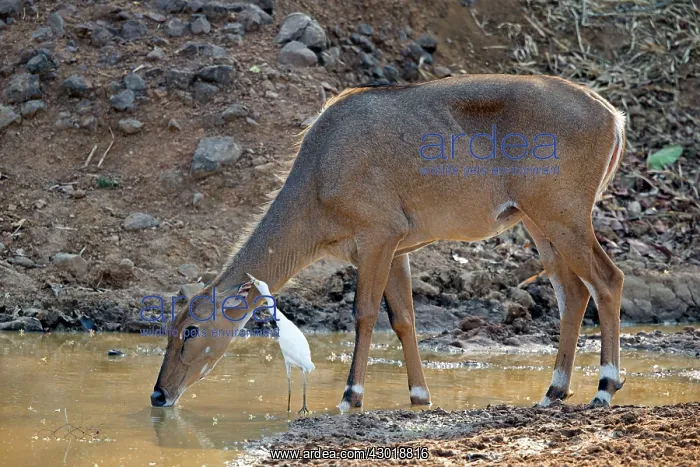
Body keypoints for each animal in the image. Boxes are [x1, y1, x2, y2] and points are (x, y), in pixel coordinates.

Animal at [151, 74, 626, 410]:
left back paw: (604, 387)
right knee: (572, 293)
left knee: (607, 279)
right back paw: (553, 391)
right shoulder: (397, 249)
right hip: (537, 222)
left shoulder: (378, 235)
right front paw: (419, 396)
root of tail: (612, 116)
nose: (158, 394)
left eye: (190, 329)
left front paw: (351, 396)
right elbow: (403, 320)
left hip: (562, 215)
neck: (319, 172)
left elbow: (363, 314)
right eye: (168, 330)